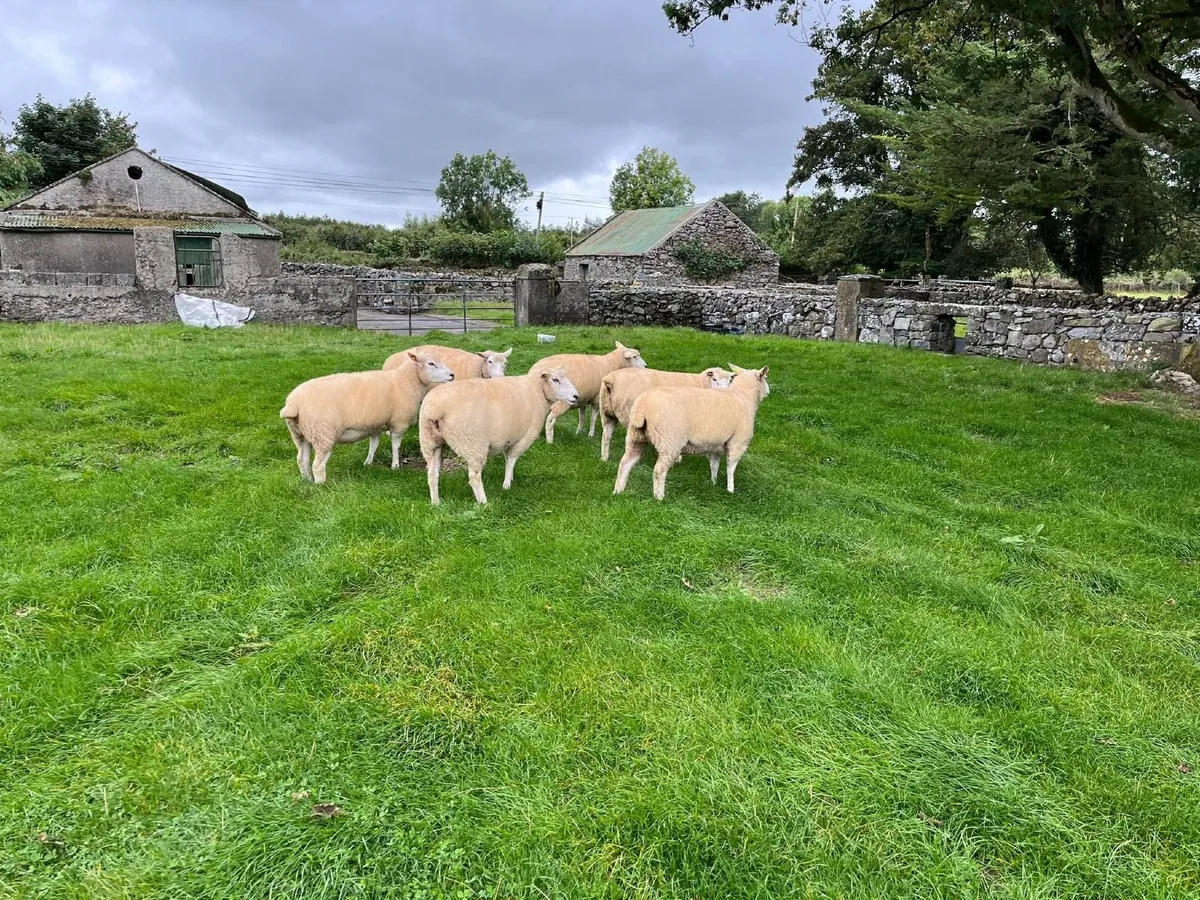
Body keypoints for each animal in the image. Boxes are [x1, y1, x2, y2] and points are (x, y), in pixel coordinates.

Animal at [281, 351, 454, 484]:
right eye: (431, 364)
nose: (452, 375)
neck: (405, 381)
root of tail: (292, 404)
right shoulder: (399, 423)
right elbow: (395, 446)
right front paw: (395, 466)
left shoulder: (375, 425)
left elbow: (374, 444)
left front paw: (368, 463)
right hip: (323, 434)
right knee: (317, 465)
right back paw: (320, 485)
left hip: (300, 434)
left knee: (301, 459)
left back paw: (307, 481)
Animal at [418, 368, 580, 505]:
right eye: (555, 379)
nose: (576, 396)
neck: (537, 391)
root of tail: (435, 409)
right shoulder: (524, 437)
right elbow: (512, 459)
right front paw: (506, 485)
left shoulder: (507, 437)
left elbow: (507, 458)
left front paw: (510, 479)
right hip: (473, 444)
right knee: (474, 477)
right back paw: (483, 503)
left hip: (430, 442)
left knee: (432, 474)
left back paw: (436, 503)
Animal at [597, 366, 733, 462]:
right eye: (714, 379)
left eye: (729, 382)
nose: (725, 393)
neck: (701, 383)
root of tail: (611, 380)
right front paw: (678, 458)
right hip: (629, 415)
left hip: (606, 413)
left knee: (606, 436)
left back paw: (604, 458)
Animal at [613, 364, 770, 501]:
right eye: (766, 378)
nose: (770, 390)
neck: (744, 396)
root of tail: (642, 408)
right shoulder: (738, 442)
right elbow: (731, 467)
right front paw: (730, 489)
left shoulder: (716, 445)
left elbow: (714, 465)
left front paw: (713, 483)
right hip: (669, 441)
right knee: (659, 471)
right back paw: (659, 497)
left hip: (635, 436)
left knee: (625, 463)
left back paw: (618, 490)